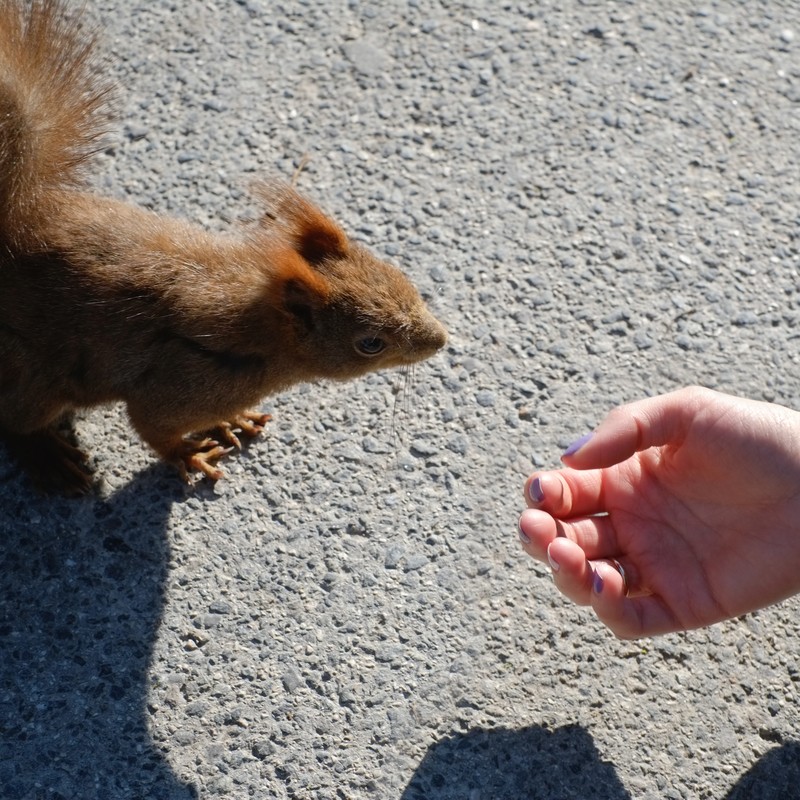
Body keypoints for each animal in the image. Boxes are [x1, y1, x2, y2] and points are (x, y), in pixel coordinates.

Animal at [0, 0, 444, 490]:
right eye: (370, 343)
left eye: (404, 279)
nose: (441, 340)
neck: (268, 334)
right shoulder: (185, 380)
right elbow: (153, 427)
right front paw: (189, 453)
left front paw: (232, 420)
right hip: (31, 375)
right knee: (17, 421)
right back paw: (49, 456)